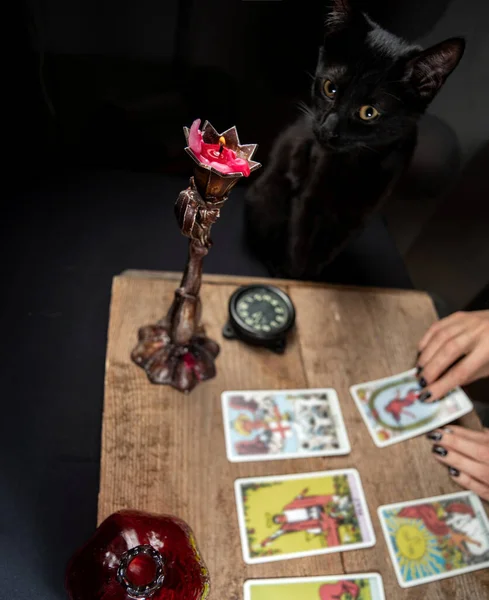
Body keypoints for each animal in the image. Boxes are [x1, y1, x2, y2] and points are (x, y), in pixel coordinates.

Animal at [246, 0, 464, 282]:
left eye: (368, 112)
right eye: (330, 88)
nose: (327, 129)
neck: (358, 165)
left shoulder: (357, 217)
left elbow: (323, 255)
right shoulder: (308, 202)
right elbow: (297, 249)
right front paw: (293, 277)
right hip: (268, 198)